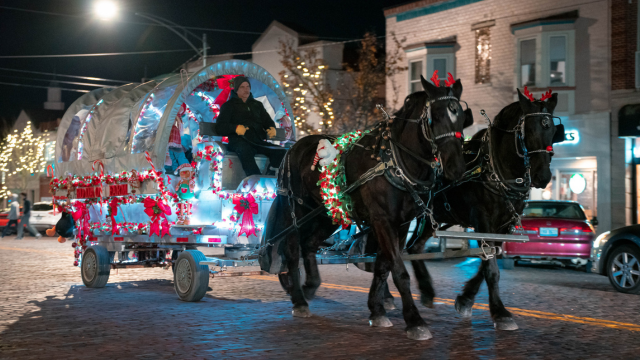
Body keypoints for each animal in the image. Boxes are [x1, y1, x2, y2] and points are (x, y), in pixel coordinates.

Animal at [262, 74, 472, 338]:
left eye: (462, 118)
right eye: (436, 116)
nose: (456, 168)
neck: (394, 161)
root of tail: (293, 148)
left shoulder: (400, 224)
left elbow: (383, 266)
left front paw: (377, 309)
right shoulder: (382, 219)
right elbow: (399, 271)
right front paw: (415, 321)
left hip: (328, 213)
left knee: (309, 244)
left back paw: (310, 285)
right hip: (297, 210)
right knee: (292, 250)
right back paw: (299, 300)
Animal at [380, 88, 560, 330]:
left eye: (552, 129)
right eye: (529, 129)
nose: (543, 176)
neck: (495, 169)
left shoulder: (504, 227)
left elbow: (486, 266)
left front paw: (465, 300)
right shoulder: (483, 219)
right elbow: (491, 269)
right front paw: (500, 312)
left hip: (430, 219)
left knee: (413, 248)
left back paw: (425, 291)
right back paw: (387, 297)